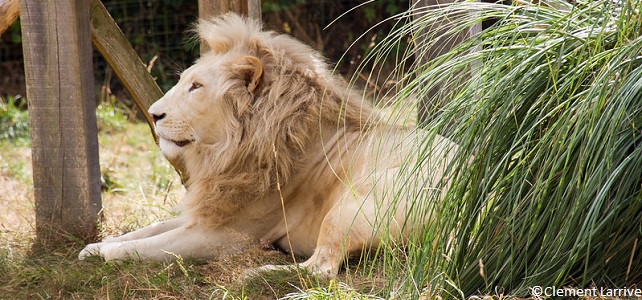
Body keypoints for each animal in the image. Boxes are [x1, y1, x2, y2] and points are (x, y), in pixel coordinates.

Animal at [77, 13, 456, 276]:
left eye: (196, 86)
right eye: (185, 81)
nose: (153, 115)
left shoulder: (226, 236)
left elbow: (148, 246)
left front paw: (107, 254)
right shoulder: (207, 214)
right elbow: (148, 230)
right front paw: (94, 247)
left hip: (356, 201)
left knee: (321, 270)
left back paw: (256, 273)